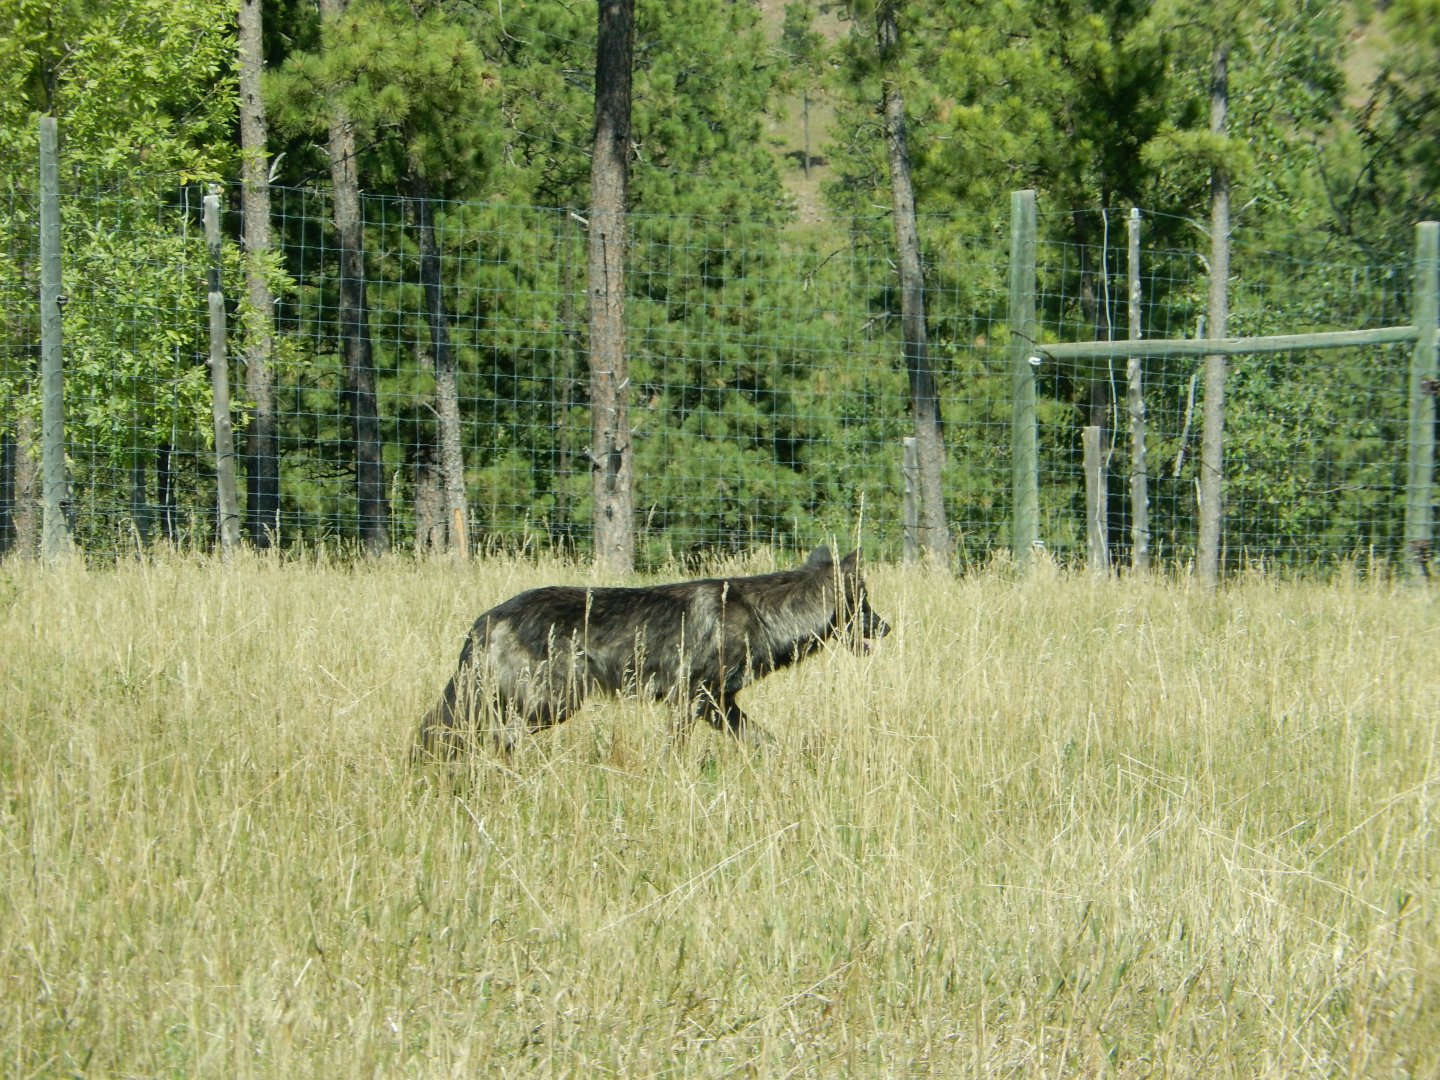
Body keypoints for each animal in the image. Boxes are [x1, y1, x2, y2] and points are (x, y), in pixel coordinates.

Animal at [413, 546, 889, 760]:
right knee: (492, 738)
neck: (764, 613)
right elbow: (674, 751)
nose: (888, 627)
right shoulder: (691, 701)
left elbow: (765, 742)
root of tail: (485, 619)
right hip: (550, 705)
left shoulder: (720, 704)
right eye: (865, 604)